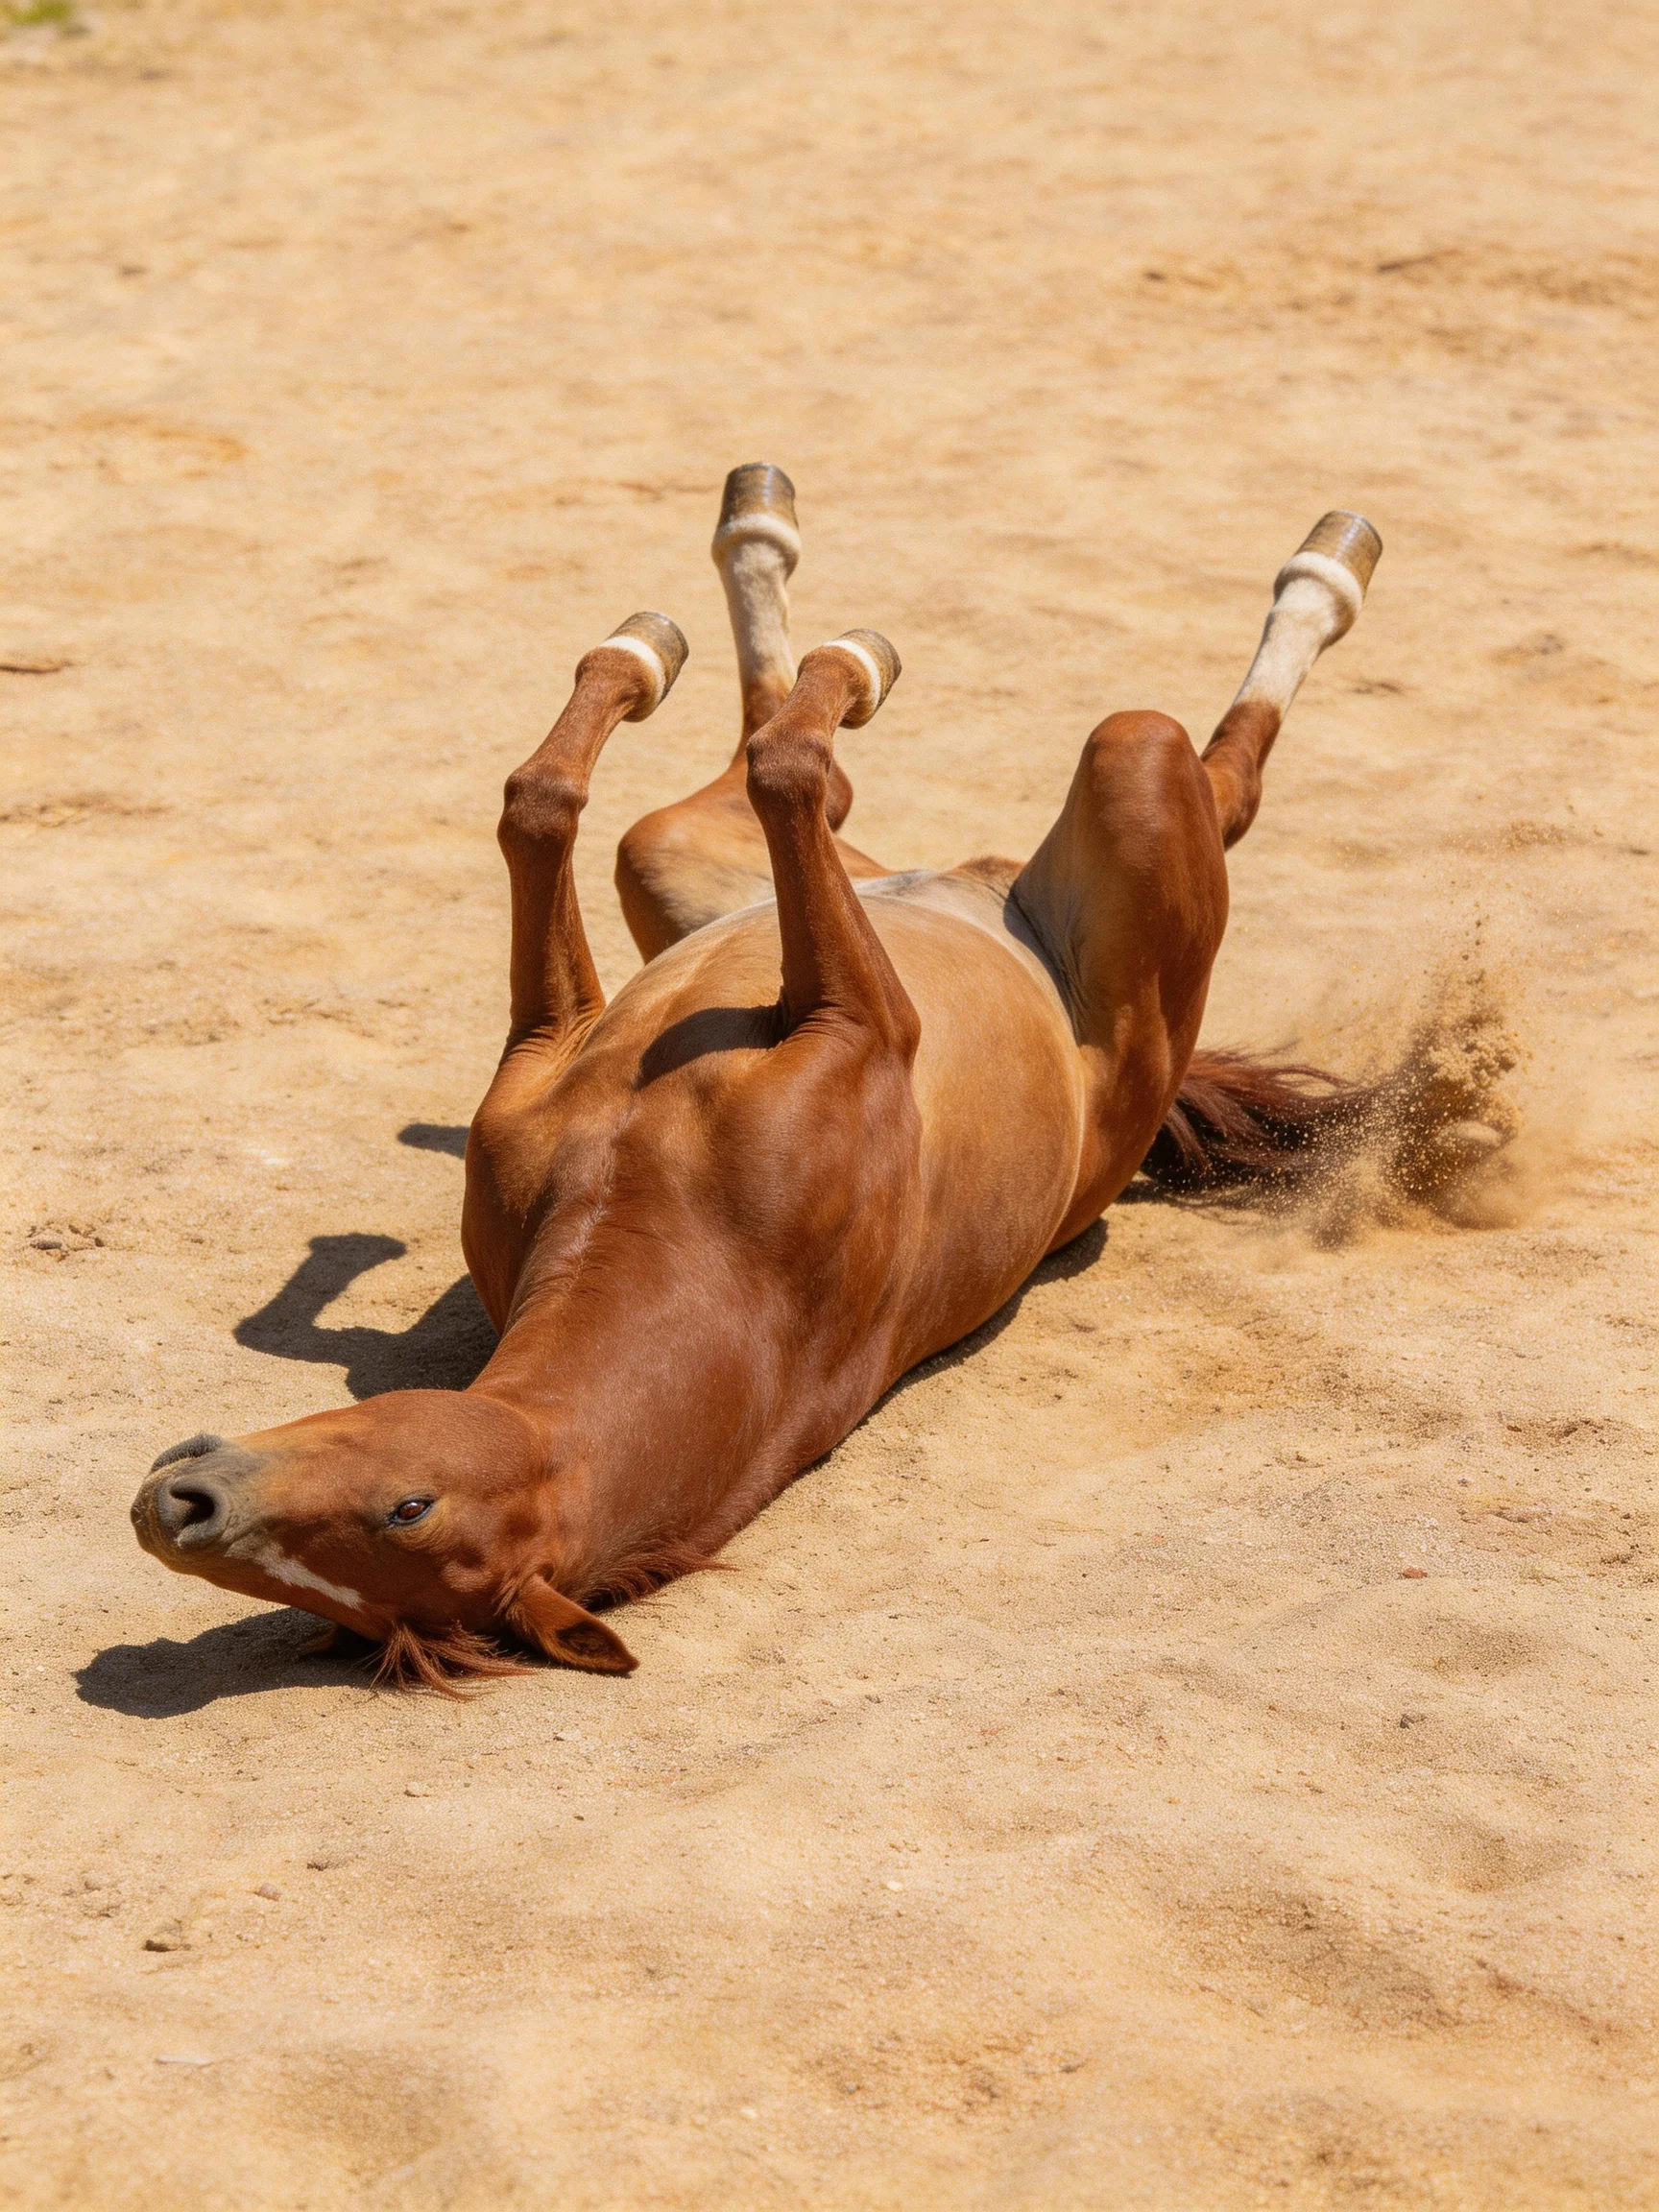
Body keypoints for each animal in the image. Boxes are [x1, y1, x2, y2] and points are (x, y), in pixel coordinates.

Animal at [132, 465, 1380, 1685]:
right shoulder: (586, 1042)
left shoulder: (840, 1018)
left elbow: (593, 800)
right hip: (730, 846)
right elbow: (632, 794)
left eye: (407, 1509)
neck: (694, 1249)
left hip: (1121, 773)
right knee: (799, 777)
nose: (177, 1507)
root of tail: (986, 878)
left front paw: (816, 660)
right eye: (324, 1598)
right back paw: (758, 543)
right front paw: (795, 658)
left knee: (1178, 777)